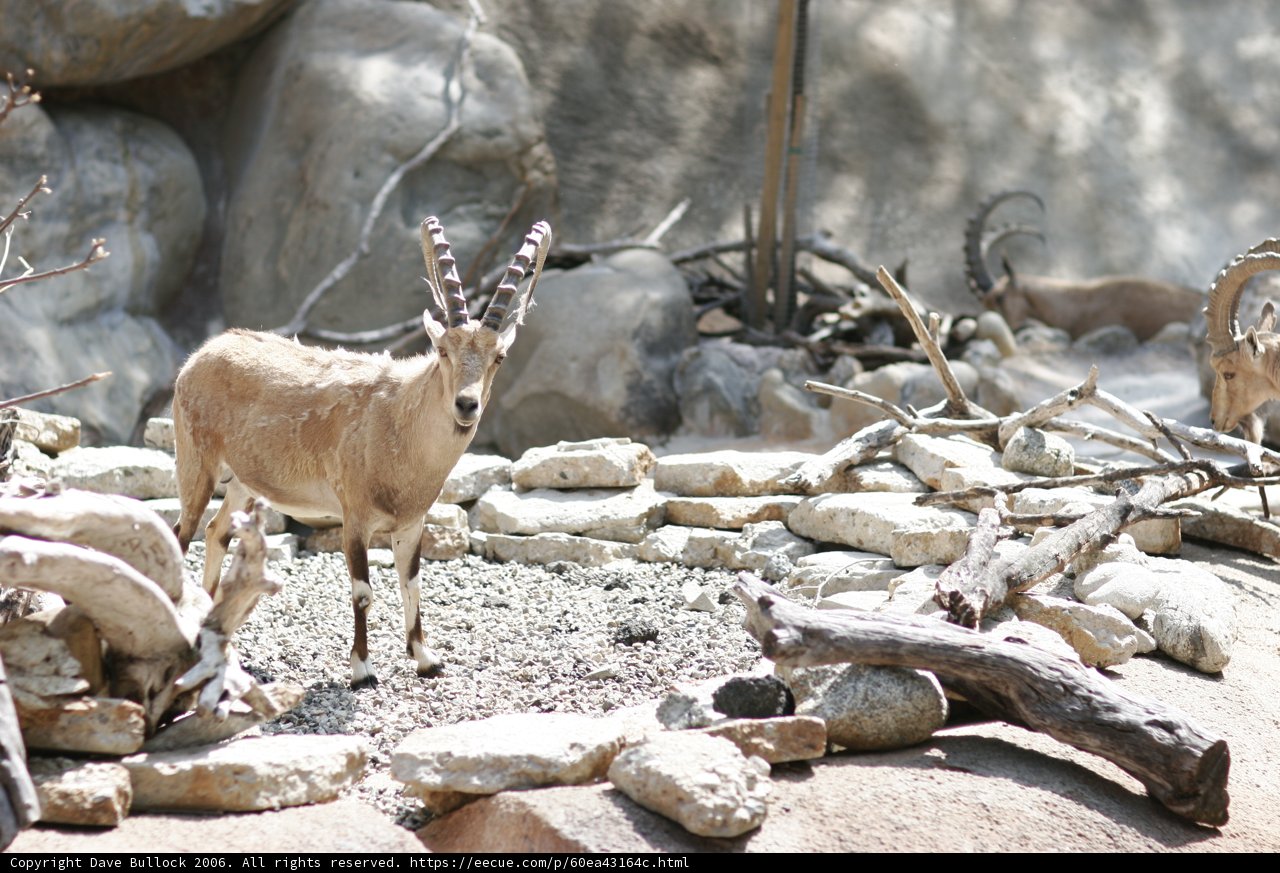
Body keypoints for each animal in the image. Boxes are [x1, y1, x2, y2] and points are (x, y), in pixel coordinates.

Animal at [172, 217, 551, 687]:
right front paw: (362, 669)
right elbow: (363, 591)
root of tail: (200, 355)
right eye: (443, 351)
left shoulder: (411, 523)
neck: (399, 427)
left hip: (244, 482)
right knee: (182, 533)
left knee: (216, 532)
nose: (466, 405)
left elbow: (412, 582)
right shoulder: (354, 517)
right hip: (196, 463)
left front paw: (426, 658)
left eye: (499, 356)